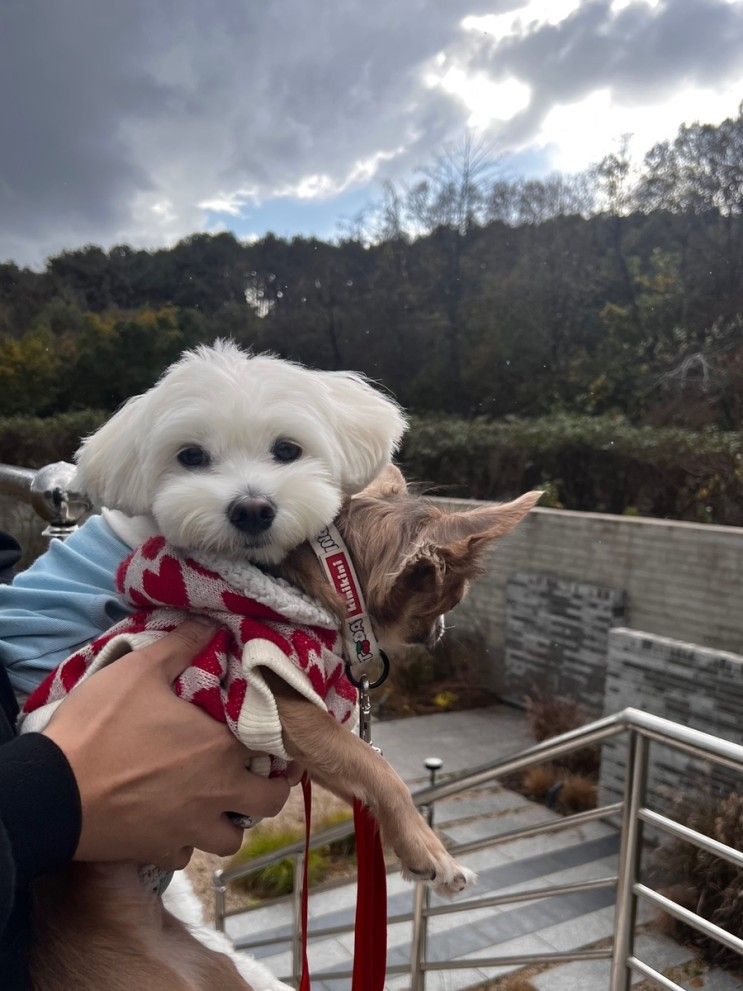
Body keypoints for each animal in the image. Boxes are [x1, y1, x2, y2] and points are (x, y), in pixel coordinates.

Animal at [30, 470, 540, 991]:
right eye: (449, 599)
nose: (441, 631)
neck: (325, 591)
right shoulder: (278, 704)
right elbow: (380, 770)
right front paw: (433, 854)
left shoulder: (306, 743)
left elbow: (362, 775)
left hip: (210, 968)